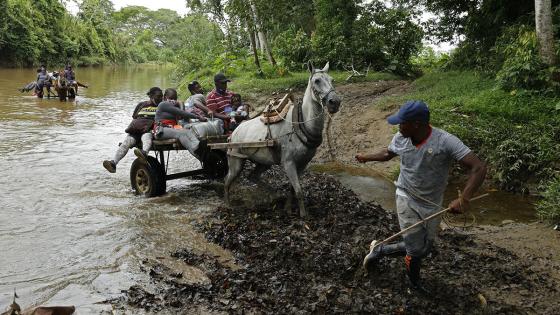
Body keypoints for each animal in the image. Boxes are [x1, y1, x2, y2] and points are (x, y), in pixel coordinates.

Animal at [224, 63, 342, 218]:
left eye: (332, 79)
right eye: (317, 81)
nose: (335, 102)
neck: (300, 124)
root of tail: (234, 132)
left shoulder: (302, 164)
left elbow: (293, 188)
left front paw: (287, 207)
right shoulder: (288, 163)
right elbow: (299, 190)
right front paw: (303, 215)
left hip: (263, 162)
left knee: (252, 177)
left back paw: (273, 194)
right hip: (235, 161)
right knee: (227, 181)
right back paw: (228, 204)